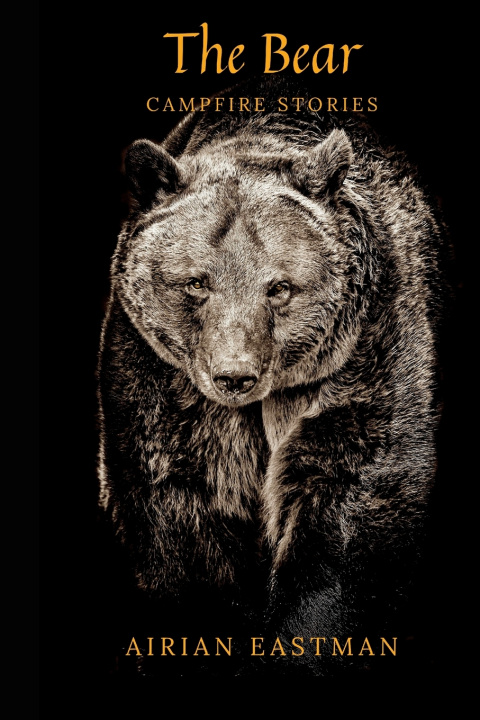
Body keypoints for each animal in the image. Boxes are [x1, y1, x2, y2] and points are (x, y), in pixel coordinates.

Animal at [97, 77, 449, 678]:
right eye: (197, 282)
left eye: (279, 287)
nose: (234, 376)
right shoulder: (159, 376)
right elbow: (176, 505)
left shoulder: (364, 355)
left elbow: (347, 497)